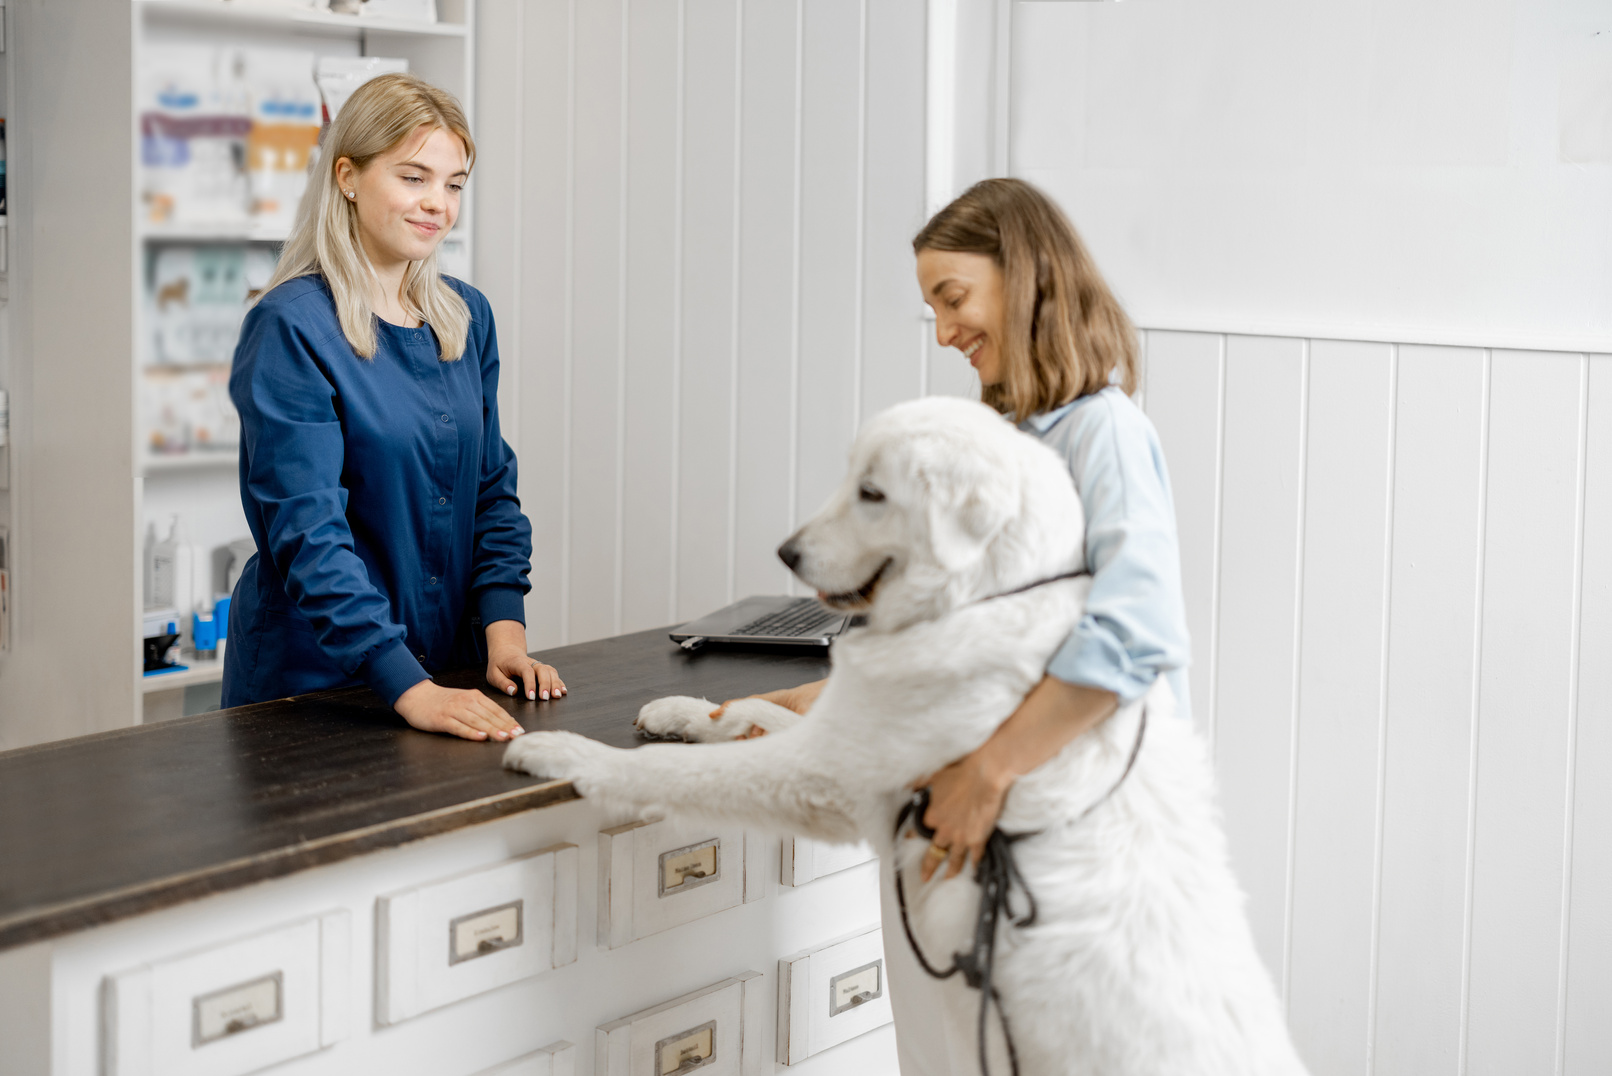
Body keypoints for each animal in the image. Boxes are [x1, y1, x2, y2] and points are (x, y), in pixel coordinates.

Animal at [502, 395, 1308, 1076]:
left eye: (873, 493)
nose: (787, 554)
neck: (983, 597)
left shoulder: (823, 774)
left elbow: (678, 774)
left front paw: (561, 751)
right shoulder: (847, 741)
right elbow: (753, 713)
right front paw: (680, 710)